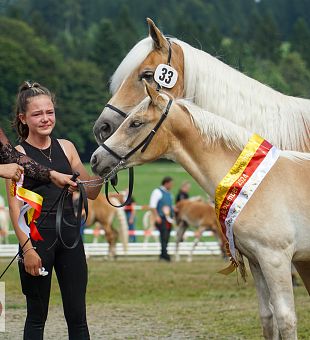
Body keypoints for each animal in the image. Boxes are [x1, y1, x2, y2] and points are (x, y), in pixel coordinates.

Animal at [91, 83, 310, 338]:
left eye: (136, 123)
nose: (95, 159)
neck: (256, 183)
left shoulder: (275, 260)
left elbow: (286, 319)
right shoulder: (257, 261)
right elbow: (268, 318)